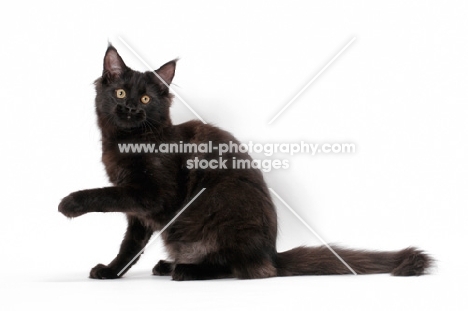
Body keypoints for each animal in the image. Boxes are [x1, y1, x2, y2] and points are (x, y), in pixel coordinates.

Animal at [59, 45, 436, 282]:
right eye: (121, 93)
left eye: (147, 98)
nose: (130, 109)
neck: (128, 141)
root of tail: (272, 253)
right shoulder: (139, 213)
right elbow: (130, 246)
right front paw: (112, 271)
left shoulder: (153, 194)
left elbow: (106, 195)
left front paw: (70, 203)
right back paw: (169, 264)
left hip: (221, 205)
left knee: (243, 267)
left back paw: (188, 270)